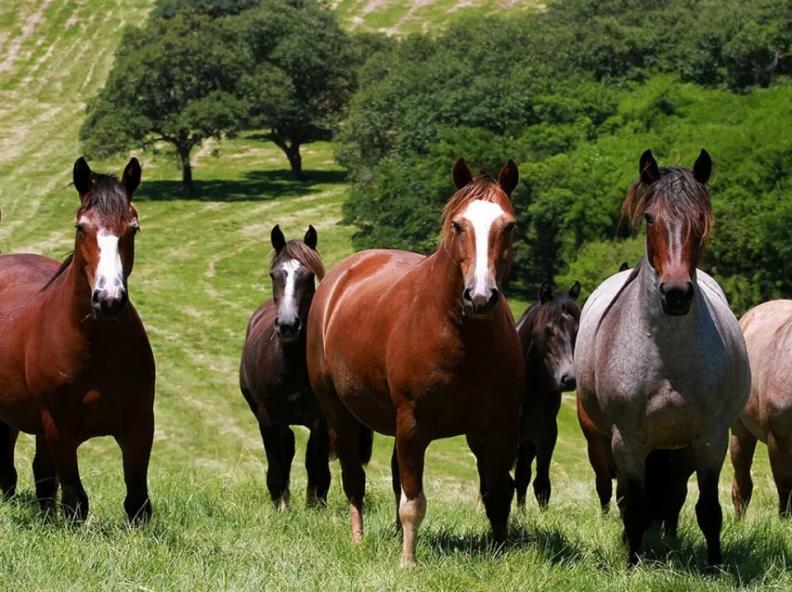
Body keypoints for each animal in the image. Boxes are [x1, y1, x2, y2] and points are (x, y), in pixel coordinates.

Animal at [0, 157, 155, 523]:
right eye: (81, 227)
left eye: (133, 228)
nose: (109, 299)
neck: (96, 347)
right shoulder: (59, 427)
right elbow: (75, 500)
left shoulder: (140, 424)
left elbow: (137, 501)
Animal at [239, 225, 332, 509]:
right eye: (274, 274)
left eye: (308, 275)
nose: (288, 325)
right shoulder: (268, 419)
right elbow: (277, 463)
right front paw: (281, 506)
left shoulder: (321, 421)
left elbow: (315, 462)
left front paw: (315, 506)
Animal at [306, 158, 523, 567]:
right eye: (458, 225)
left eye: (509, 226)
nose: (480, 297)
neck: (462, 337)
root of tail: (340, 278)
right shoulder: (413, 428)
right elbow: (414, 503)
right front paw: (408, 561)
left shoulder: (498, 429)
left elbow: (499, 493)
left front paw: (502, 553)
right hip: (339, 413)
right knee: (354, 479)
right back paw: (358, 539)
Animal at [511, 281, 580, 509]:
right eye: (548, 330)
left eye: (577, 329)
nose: (569, 379)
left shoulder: (546, 433)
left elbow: (541, 484)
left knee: (522, 476)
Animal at [575, 149, 750, 567]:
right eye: (649, 217)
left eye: (701, 218)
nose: (675, 294)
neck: (667, 353)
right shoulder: (628, 441)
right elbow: (634, 504)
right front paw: (633, 561)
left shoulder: (710, 438)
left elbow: (708, 509)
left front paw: (714, 566)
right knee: (626, 496)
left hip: (680, 448)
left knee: (674, 495)